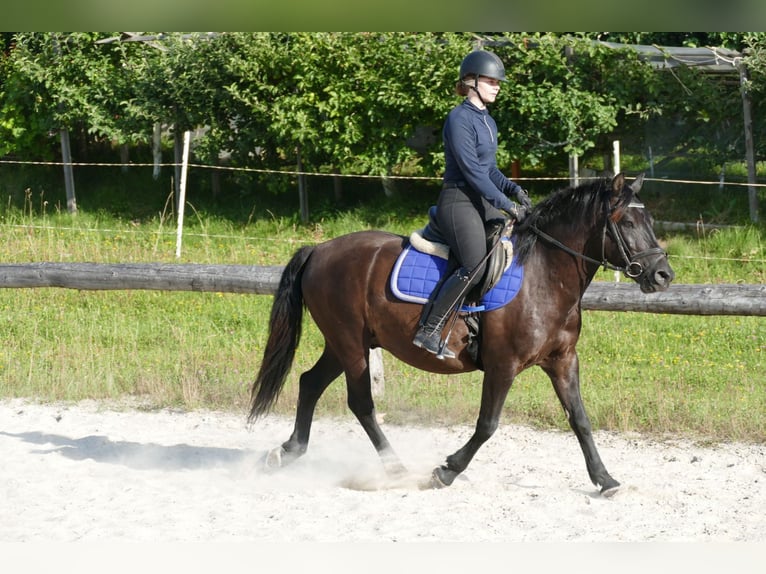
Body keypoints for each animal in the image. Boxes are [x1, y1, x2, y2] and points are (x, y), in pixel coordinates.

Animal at [249, 170, 676, 496]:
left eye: (651, 222)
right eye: (627, 223)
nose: (663, 275)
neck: (544, 276)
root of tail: (319, 249)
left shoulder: (562, 360)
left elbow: (581, 421)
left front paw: (605, 480)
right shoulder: (503, 365)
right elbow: (487, 424)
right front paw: (447, 470)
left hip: (344, 343)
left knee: (310, 383)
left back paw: (287, 452)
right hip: (350, 343)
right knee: (361, 404)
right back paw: (395, 468)